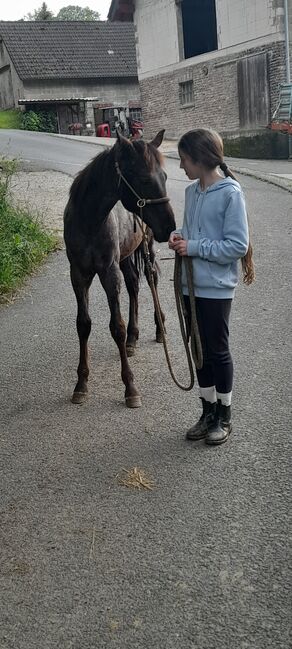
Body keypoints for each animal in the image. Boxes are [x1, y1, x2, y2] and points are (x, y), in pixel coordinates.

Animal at [64, 129, 176, 408]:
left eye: (165, 176)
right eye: (144, 179)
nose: (170, 227)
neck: (89, 221)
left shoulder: (108, 272)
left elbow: (117, 326)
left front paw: (130, 388)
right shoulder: (78, 274)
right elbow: (83, 324)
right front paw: (81, 384)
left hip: (145, 248)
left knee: (151, 278)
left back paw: (159, 328)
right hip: (126, 257)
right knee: (134, 284)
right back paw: (133, 339)